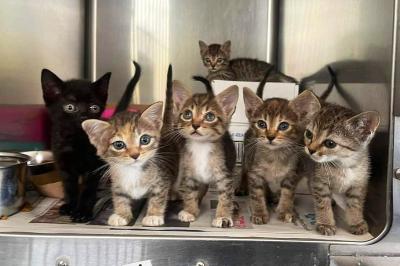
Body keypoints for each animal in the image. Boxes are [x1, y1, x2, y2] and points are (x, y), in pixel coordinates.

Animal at [40, 69, 111, 222]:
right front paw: (70, 206)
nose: (84, 116)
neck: (77, 141)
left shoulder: (93, 168)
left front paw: (83, 212)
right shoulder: (63, 164)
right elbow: (69, 187)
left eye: (94, 108)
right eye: (70, 107)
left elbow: (87, 190)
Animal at [242, 88, 320, 224]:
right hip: (246, 155)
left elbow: (288, 194)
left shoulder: (292, 174)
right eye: (261, 124)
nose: (270, 137)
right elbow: (256, 194)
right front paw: (259, 213)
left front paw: (285, 211)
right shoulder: (254, 173)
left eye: (284, 126)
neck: (274, 156)